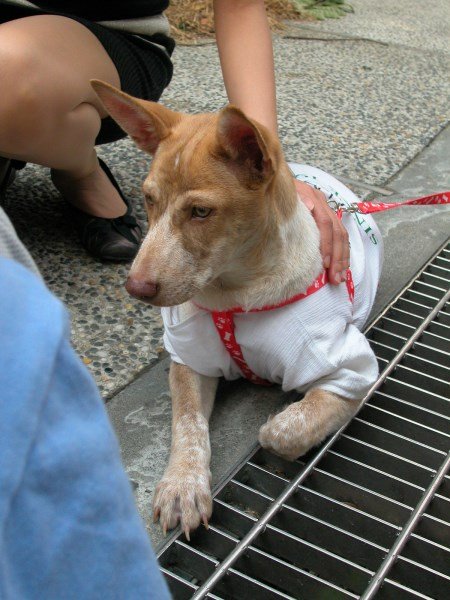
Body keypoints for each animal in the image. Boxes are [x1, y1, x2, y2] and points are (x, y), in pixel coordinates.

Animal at [91, 81, 384, 540]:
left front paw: (279, 423)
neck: (233, 295)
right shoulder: (188, 358)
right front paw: (184, 484)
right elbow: (187, 423)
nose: (135, 287)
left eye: (200, 211)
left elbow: (282, 431)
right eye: (148, 199)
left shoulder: (351, 371)